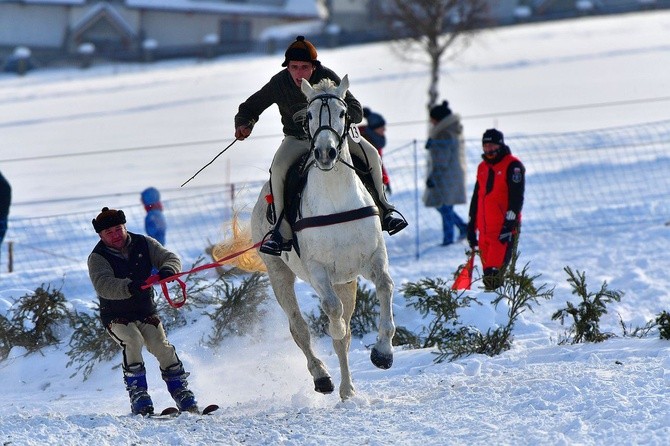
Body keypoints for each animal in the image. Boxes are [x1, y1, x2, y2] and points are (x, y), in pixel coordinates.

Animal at [253, 75, 400, 398]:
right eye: (308, 116)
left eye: (343, 113)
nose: (324, 153)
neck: (336, 199)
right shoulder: (318, 271)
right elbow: (333, 315)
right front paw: (336, 332)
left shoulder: (373, 258)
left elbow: (385, 288)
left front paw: (383, 352)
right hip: (280, 274)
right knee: (299, 329)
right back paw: (322, 377)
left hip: (346, 280)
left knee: (342, 334)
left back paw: (347, 389)